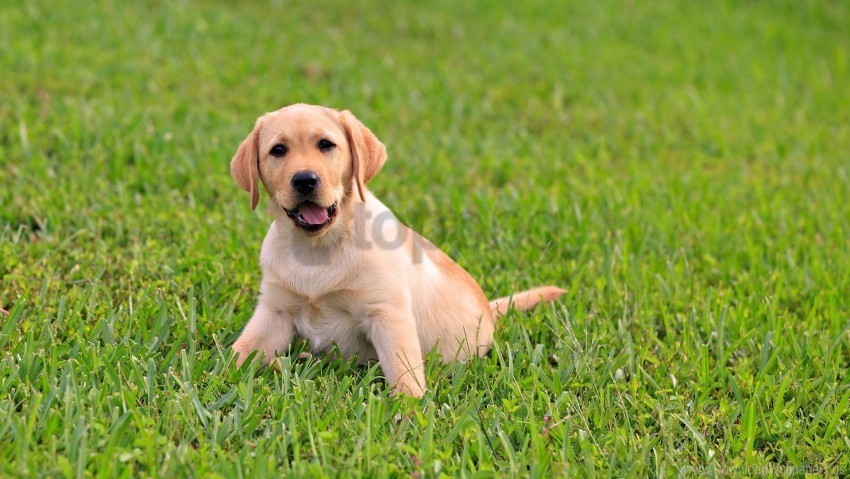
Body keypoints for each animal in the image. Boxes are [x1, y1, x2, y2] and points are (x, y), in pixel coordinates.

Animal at [230, 103, 564, 396]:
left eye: (326, 145)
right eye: (278, 150)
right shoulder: (274, 311)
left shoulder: (388, 314)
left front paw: (410, 412)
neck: (317, 249)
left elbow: (404, 371)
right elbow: (236, 354)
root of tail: (490, 311)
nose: (304, 180)